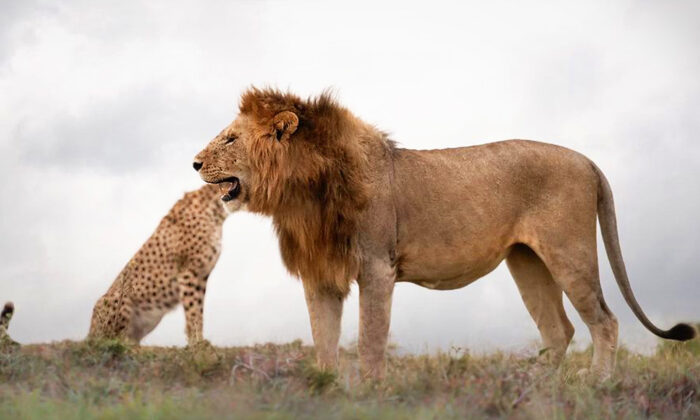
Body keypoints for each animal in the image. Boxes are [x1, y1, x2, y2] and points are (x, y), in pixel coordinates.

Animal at [193, 88, 695, 380]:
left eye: (231, 139)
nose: (195, 163)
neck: (303, 193)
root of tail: (588, 160)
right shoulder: (321, 277)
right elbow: (324, 342)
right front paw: (326, 388)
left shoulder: (377, 267)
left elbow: (370, 340)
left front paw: (367, 393)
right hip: (526, 261)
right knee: (559, 331)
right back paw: (537, 388)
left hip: (569, 253)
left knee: (604, 322)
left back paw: (597, 386)